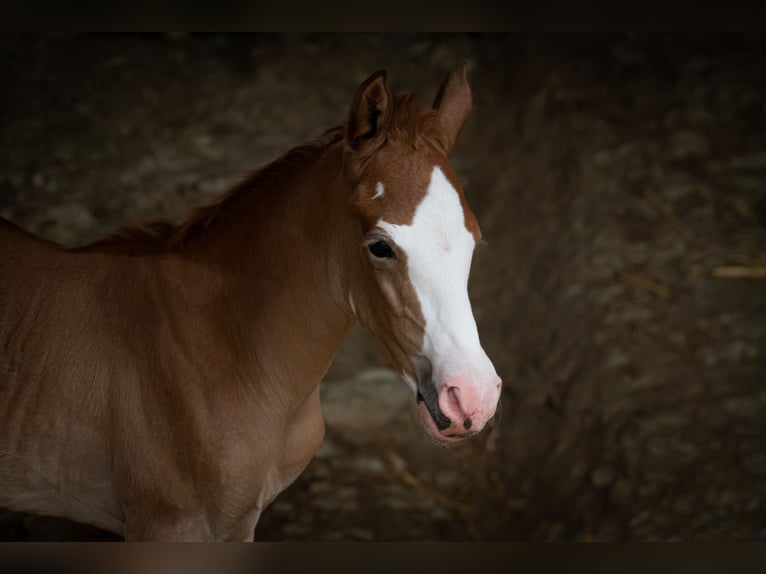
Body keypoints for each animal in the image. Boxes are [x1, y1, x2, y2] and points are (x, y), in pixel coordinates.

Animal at [0, 64, 502, 541]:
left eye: (474, 241)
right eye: (380, 246)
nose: (471, 398)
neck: (231, 347)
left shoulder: (239, 521)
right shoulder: (169, 525)